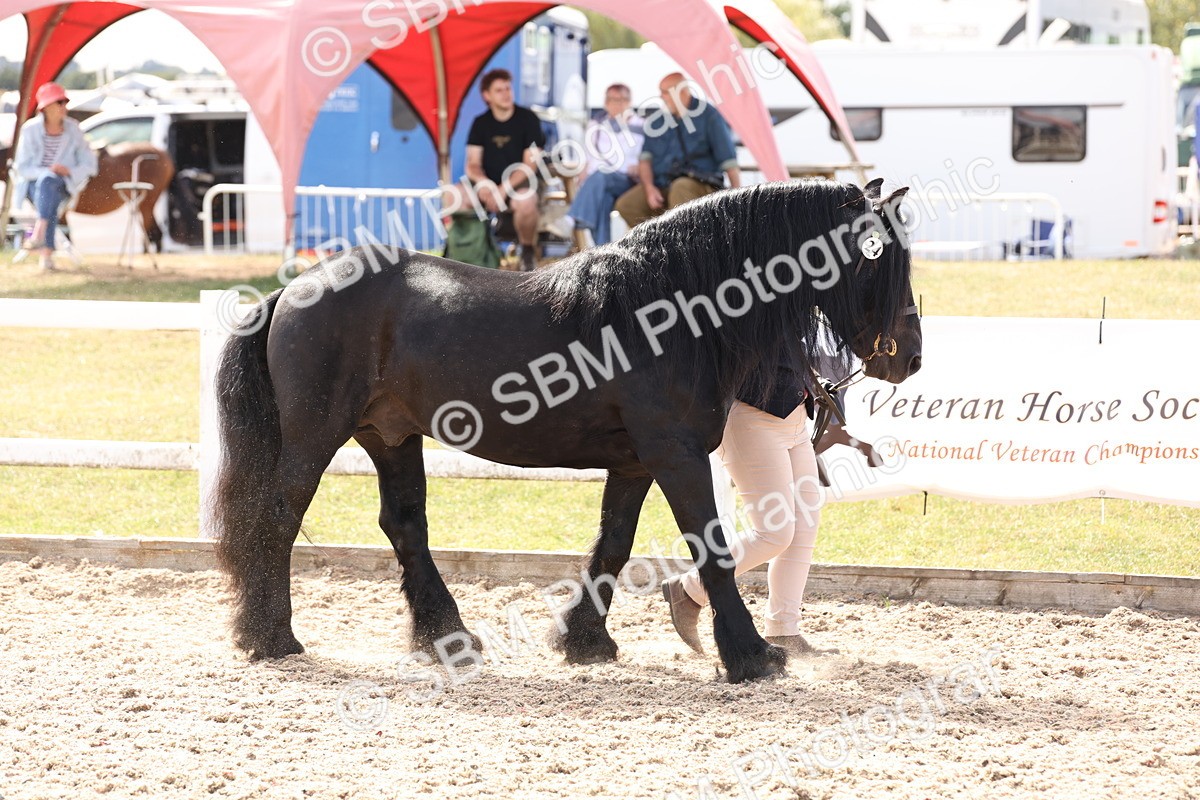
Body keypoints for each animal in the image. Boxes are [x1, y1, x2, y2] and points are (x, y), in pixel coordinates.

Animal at [211, 178, 923, 683]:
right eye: (876, 259)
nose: (909, 357)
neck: (668, 310)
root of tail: (295, 288)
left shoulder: (636, 462)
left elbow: (613, 544)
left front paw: (585, 639)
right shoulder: (677, 454)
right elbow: (712, 547)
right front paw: (750, 656)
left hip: (390, 436)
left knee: (404, 526)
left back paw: (447, 640)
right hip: (315, 438)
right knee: (276, 519)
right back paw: (271, 638)